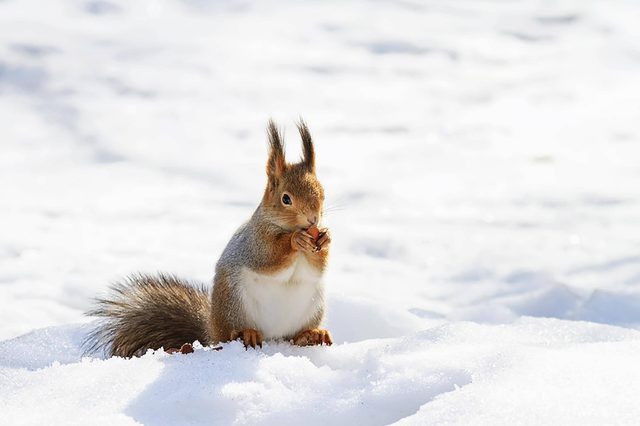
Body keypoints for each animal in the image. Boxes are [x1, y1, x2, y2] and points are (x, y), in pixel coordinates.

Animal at [84, 120, 333, 357]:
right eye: (286, 199)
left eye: (322, 193)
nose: (313, 219)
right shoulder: (254, 242)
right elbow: (270, 257)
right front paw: (295, 240)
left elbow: (316, 269)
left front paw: (325, 239)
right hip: (233, 305)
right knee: (231, 334)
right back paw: (247, 334)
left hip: (312, 308)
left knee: (295, 336)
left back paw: (311, 334)